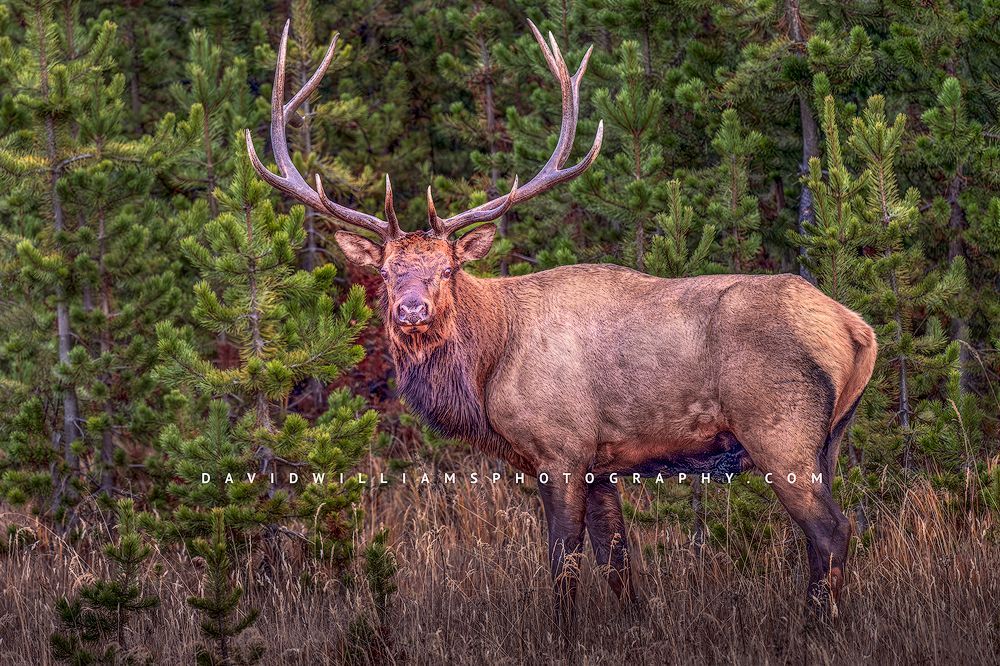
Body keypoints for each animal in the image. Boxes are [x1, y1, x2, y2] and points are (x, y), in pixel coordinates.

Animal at [246, 19, 877, 626]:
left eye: (447, 268)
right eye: (384, 271)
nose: (411, 310)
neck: (489, 366)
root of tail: (856, 329)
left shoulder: (561, 450)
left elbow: (563, 561)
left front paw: (564, 635)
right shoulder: (602, 463)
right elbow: (616, 560)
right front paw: (635, 627)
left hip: (778, 429)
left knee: (832, 530)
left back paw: (814, 627)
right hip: (829, 438)